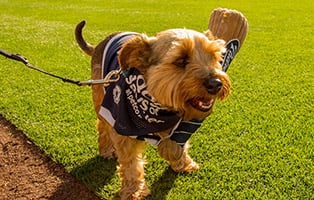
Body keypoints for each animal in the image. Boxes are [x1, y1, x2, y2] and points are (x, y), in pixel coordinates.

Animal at [74, 21, 231, 199]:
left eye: (214, 57)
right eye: (181, 60)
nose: (216, 83)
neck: (158, 105)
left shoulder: (180, 124)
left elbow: (179, 142)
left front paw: (182, 163)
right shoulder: (123, 129)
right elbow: (131, 164)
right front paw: (134, 190)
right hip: (101, 96)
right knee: (102, 125)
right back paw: (106, 149)